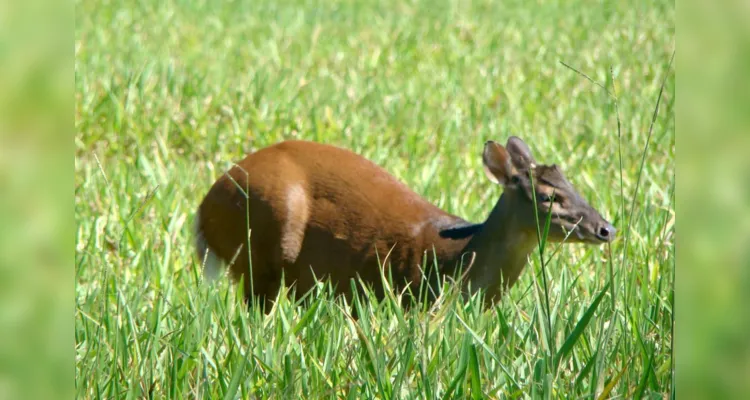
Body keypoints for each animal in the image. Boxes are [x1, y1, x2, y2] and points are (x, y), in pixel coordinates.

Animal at [192, 136, 616, 310]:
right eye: (549, 197)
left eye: (571, 182)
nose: (607, 229)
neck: (456, 258)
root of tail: (202, 212)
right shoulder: (414, 294)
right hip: (261, 248)